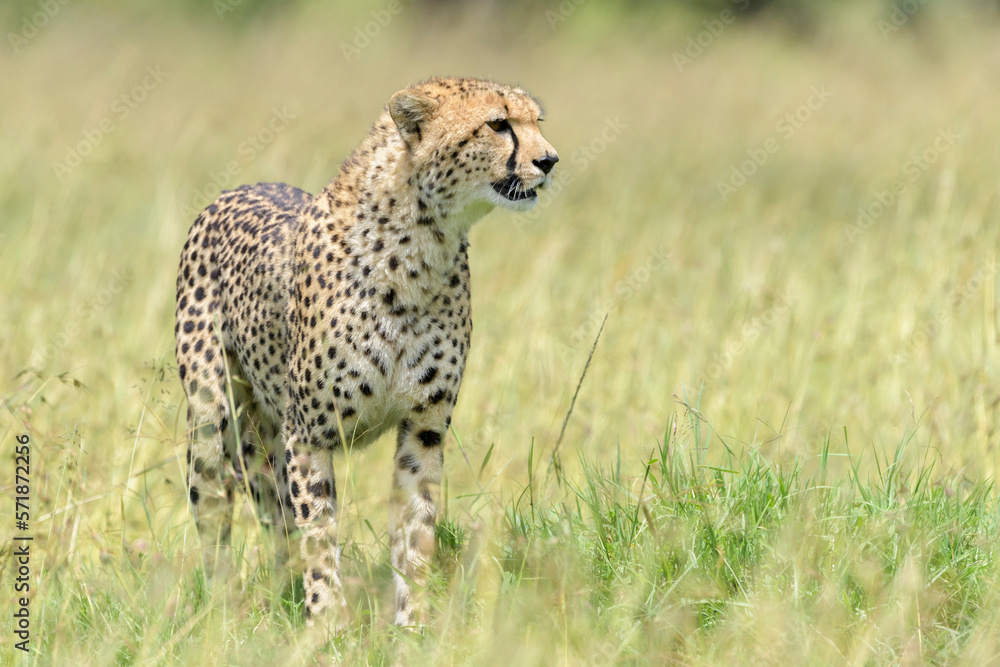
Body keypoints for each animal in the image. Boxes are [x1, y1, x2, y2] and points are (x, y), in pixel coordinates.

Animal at [174, 76, 558, 629]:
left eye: (536, 122)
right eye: (498, 123)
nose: (549, 160)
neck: (424, 241)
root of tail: (239, 188)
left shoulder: (423, 427)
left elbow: (415, 528)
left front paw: (413, 622)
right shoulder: (307, 433)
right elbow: (318, 531)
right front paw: (328, 625)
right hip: (212, 416)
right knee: (216, 514)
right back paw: (221, 611)